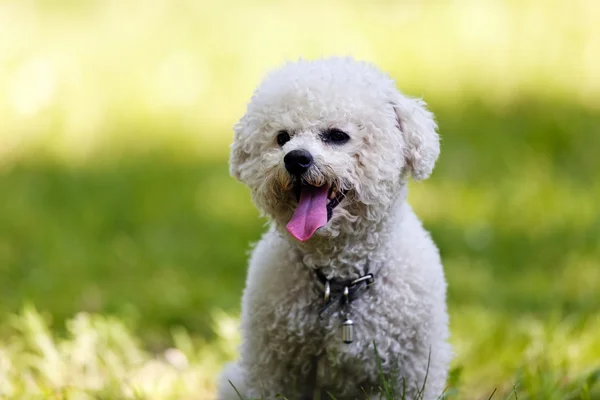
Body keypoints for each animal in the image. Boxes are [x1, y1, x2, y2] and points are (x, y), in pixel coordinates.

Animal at [218, 57, 452, 400]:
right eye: (282, 137)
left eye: (337, 135)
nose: (295, 158)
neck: (342, 282)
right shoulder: (272, 365)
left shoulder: (415, 366)